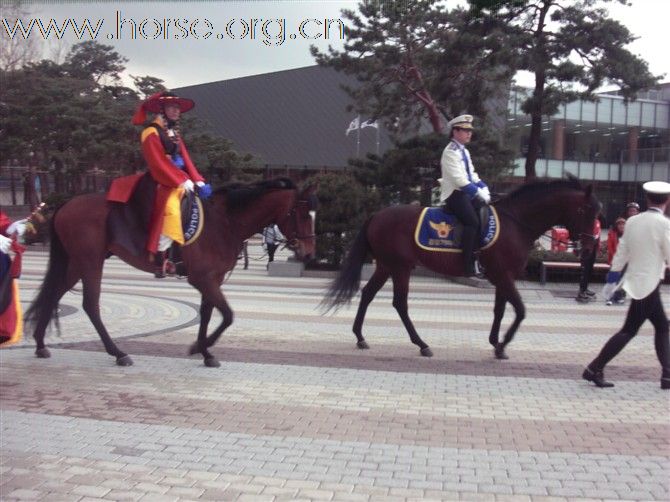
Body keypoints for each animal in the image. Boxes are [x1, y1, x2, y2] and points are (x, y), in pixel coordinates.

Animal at [25, 178, 318, 366]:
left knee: (54, 294)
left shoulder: (212, 279)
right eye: (303, 214)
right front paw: (200, 347)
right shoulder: (203, 279)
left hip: (76, 262)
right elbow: (227, 315)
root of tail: (66, 203)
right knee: (90, 304)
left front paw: (204, 351)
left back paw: (40, 344)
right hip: (90, 262)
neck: (224, 221)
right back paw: (118, 352)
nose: (309, 253)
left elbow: (208, 314)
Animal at [322, 178, 600, 358]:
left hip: (386, 266)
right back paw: (421, 344)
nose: (589, 247)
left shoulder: (502, 276)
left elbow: (500, 310)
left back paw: (360, 337)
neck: (516, 223)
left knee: (368, 294)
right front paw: (502, 345)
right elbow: (520, 310)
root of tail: (377, 215)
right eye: (585, 209)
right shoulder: (504, 275)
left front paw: (495, 342)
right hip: (400, 267)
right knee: (400, 303)